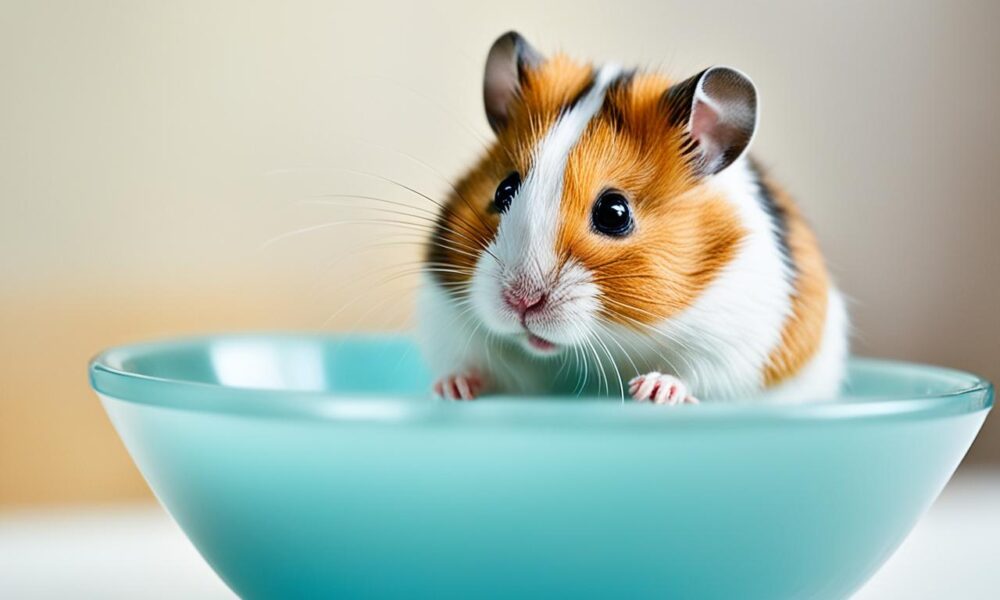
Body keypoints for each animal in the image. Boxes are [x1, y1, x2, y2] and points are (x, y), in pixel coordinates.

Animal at [417, 31, 848, 404]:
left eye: (614, 213)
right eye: (503, 190)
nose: (521, 301)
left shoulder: (737, 338)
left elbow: (694, 372)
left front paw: (651, 391)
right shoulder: (448, 317)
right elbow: (477, 363)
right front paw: (452, 389)